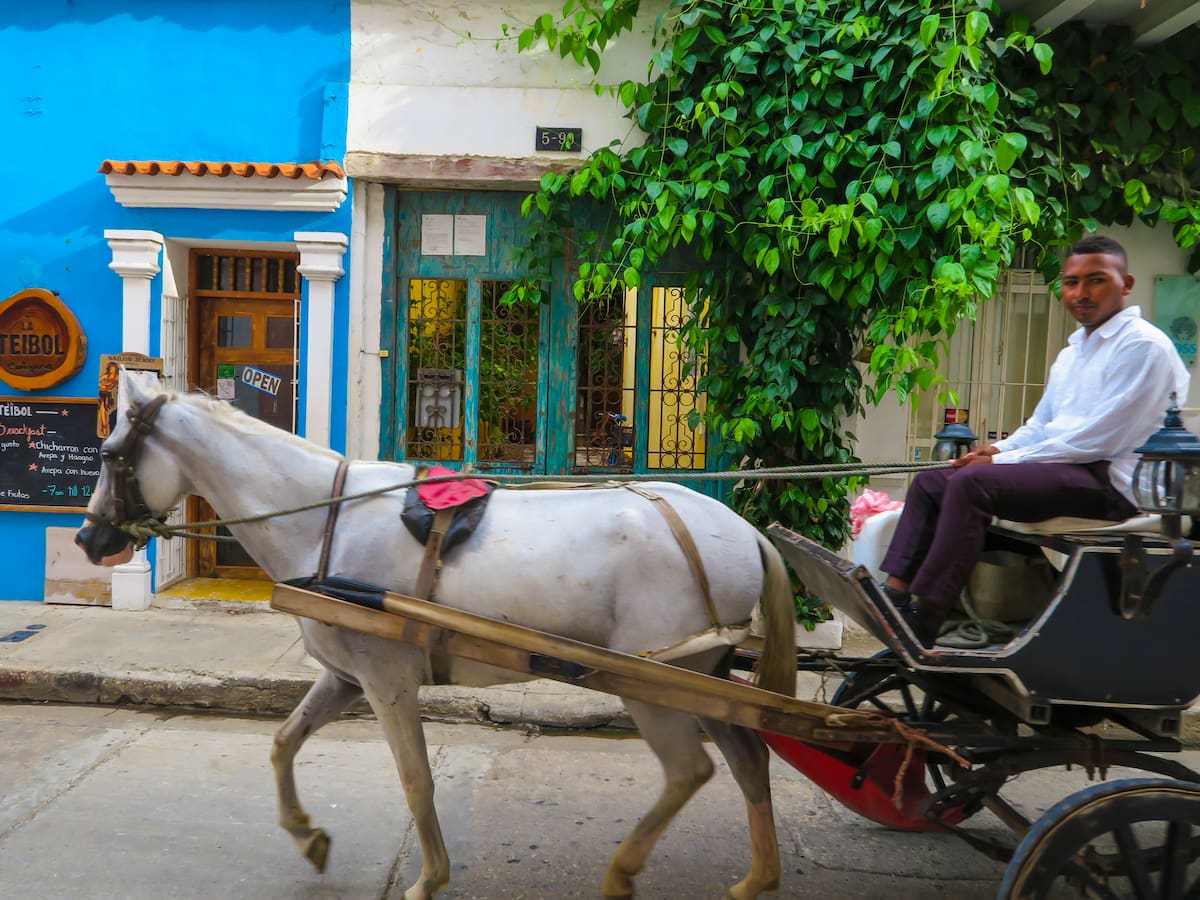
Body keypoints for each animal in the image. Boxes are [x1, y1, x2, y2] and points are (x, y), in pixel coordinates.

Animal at [76, 369, 798, 900]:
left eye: (109, 454)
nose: (87, 538)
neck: (323, 521)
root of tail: (745, 532)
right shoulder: (345, 676)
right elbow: (283, 744)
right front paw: (308, 836)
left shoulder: (387, 678)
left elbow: (415, 778)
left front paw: (428, 878)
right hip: (706, 675)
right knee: (746, 758)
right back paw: (757, 878)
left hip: (653, 680)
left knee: (690, 769)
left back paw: (624, 872)